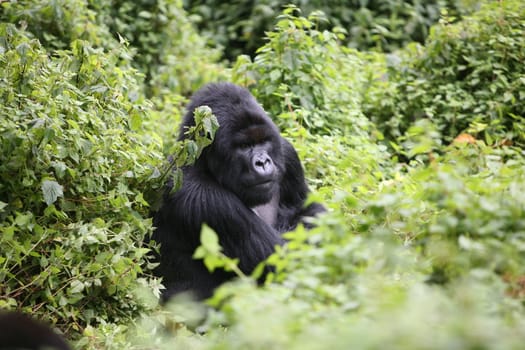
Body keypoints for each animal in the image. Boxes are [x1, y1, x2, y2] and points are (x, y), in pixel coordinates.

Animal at [151, 82, 324, 298]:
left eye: (262, 141)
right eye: (244, 146)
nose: (263, 162)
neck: (204, 163)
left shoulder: (287, 153)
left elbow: (310, 211)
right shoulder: (207, 201)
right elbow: (284, 260)